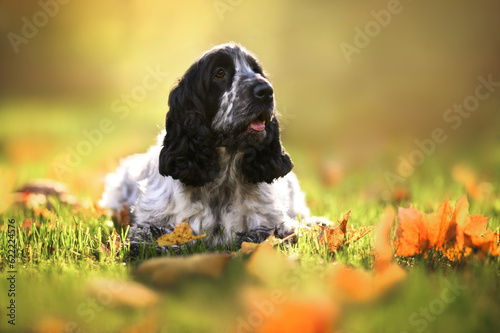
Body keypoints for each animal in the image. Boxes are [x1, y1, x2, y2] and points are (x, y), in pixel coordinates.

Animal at [99, 42, 310, 246]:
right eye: (220, 73)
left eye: (256, 70)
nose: (265, 91)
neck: (224, 177)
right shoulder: (155, 223)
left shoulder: (272, 222)